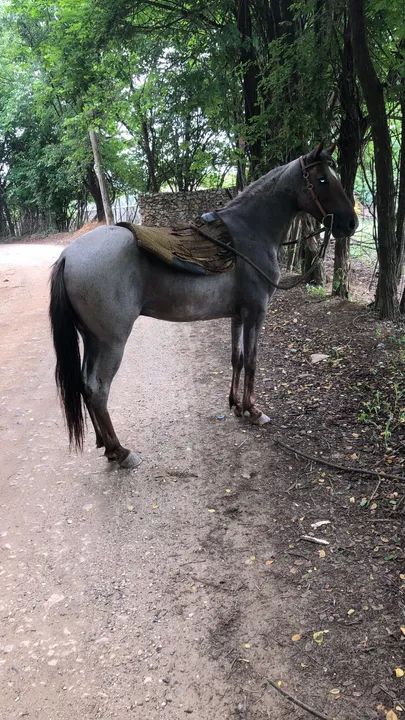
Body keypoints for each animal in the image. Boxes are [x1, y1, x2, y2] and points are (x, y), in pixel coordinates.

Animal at [49, 145, 358, 468]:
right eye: (322, 179)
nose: (351, 223)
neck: (250, 232)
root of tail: (69, 255)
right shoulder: (256, 313)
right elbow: (252, 361)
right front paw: (253, 410)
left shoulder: (238, 315)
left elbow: (237, 358)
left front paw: (235, 405)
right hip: (111, 342)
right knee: (98, 389)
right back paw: (121, 451)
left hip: (92, 339)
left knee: (85, 385)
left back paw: (105, 445)